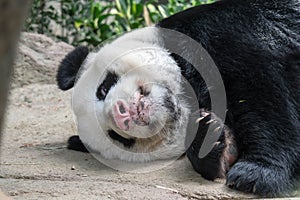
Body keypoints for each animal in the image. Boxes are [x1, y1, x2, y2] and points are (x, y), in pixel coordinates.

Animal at [55, 0, 298, 197]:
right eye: (118, 137)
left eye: (104, 88)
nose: (121, 114)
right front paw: (210, 140)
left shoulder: (221, 32)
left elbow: (263, 92)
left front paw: (256, 173)